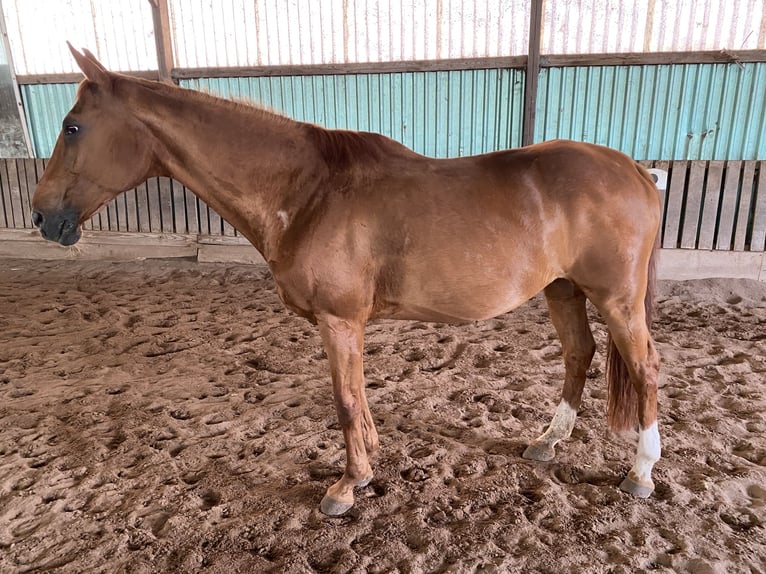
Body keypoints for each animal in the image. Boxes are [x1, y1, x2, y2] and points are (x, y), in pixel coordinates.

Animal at [30, 46, 664, 516]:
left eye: (73, 126)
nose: (40, 217)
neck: (308, 192)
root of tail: (633, 169)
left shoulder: (337, 321)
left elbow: (342, 399)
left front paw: (345, 485)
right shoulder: (348, 324)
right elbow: (358, 394)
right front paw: (368, 461)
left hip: (616, 299)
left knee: (644, 369)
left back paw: (641, 473)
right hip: (563, 289)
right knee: (579, 354)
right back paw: (548, 442)